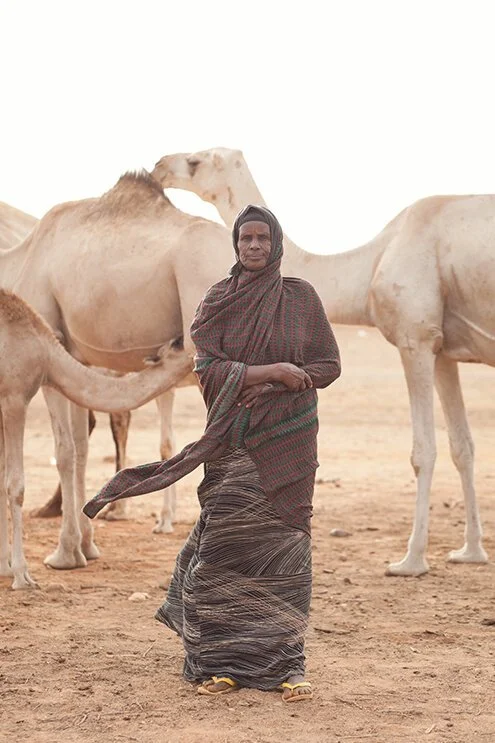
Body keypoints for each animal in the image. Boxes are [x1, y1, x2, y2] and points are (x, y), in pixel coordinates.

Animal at [0, 289, 190, 589]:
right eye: (178, 343)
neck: (45, 354)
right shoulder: (14, 398)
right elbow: (15, 485)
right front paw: (21, 575)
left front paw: (5, 568)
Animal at [152, 147, 495, 577]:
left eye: (196, 162)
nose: (159, 166)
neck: (372, 263)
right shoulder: (443, 349)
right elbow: (462, 446)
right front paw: (471, 551)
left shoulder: (415, 339)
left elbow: (423, 451)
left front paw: (411, 560)